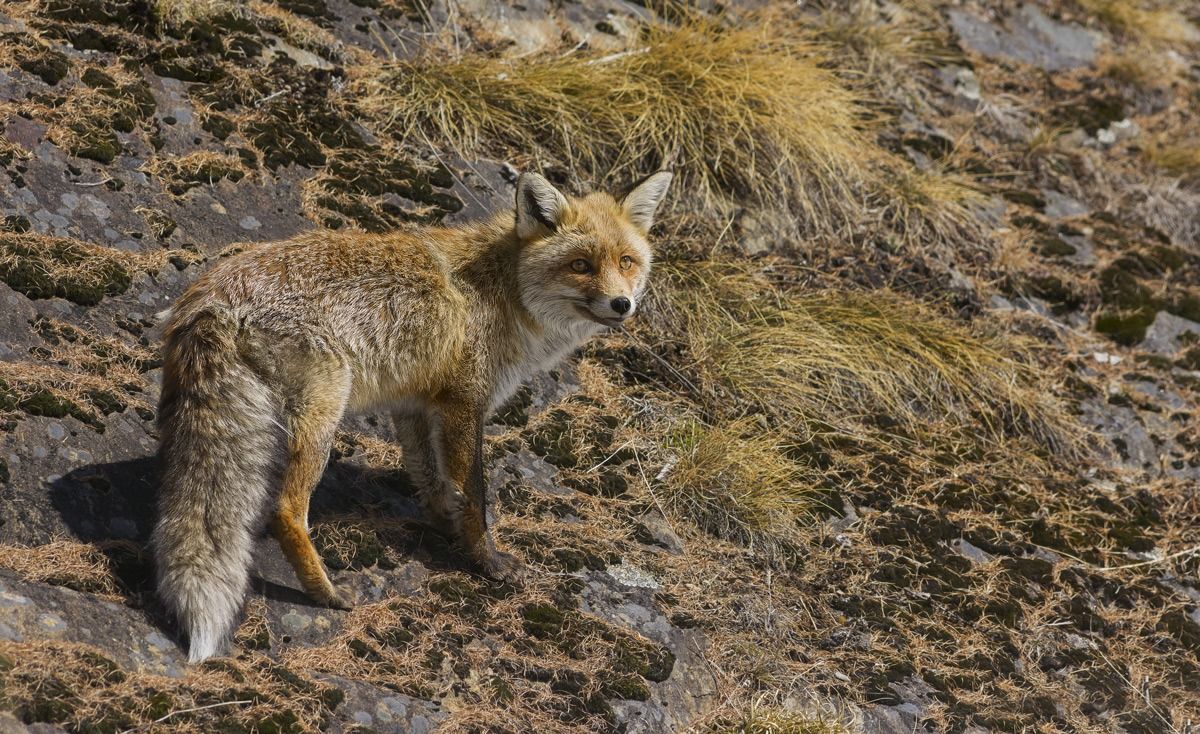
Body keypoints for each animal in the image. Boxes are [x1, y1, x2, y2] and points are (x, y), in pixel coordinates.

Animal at [151, 170, 673, 662]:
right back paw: (326, 593)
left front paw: (444, 524)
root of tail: (211, 297)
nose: (622, 304)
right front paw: (487, 562)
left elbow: (432, 479)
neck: (501, 288)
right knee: (285, 510)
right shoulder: (465, 403)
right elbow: (476, 494)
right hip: (324, 413)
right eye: (581, 265)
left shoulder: (415, 405)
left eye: (626, 262)